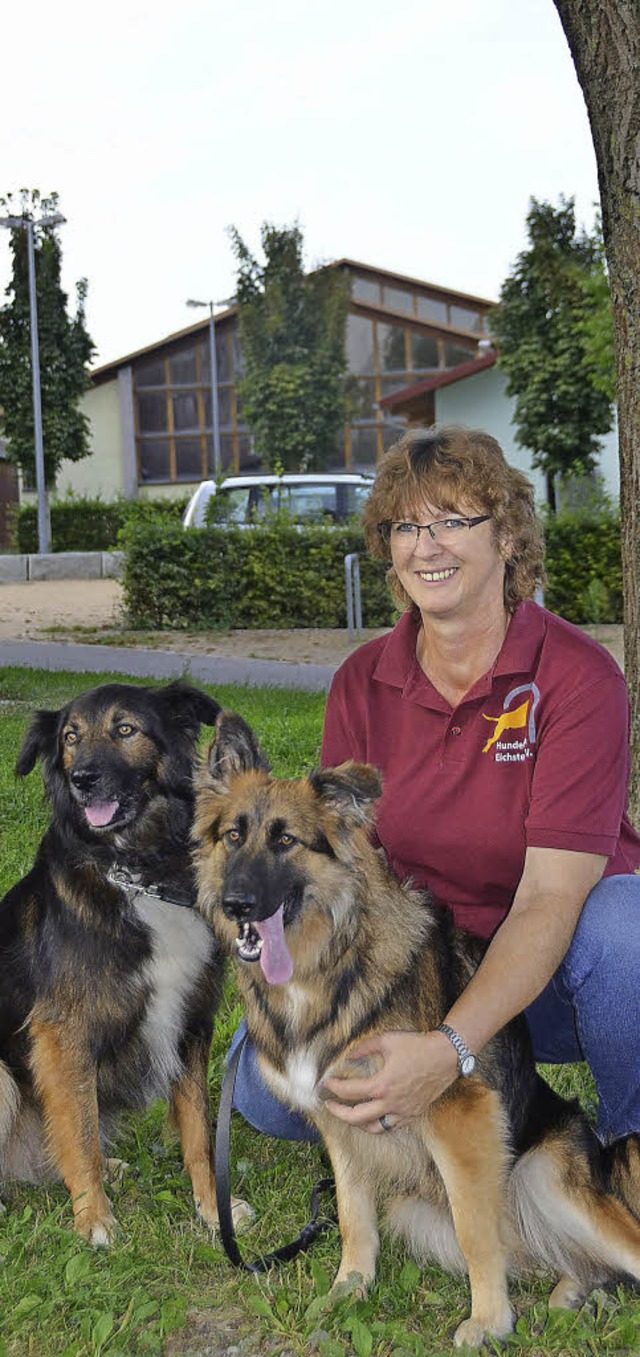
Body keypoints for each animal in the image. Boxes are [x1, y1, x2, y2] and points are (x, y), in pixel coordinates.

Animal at [0, 683, 249, 1243]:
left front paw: (211, 1209)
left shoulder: (189, 1025)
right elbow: (81, 1134)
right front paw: (94, 1218)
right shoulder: (64, 1034)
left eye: (126, 729)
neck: (136, 873)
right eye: (70, 739)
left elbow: (198, 1134)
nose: (82, 780)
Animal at [192, 711, 640, 1346]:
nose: (237, 905)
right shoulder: (340, 1123)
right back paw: (567, 1293)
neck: (328, 966)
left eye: (285, 840)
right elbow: (353, 1216)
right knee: (571, 1262)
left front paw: (489, 1321)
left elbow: (477, 1230)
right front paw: (348, 1289)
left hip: (545, 1176)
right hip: (414, 1210)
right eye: (233, 835)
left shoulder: (458, 1119)